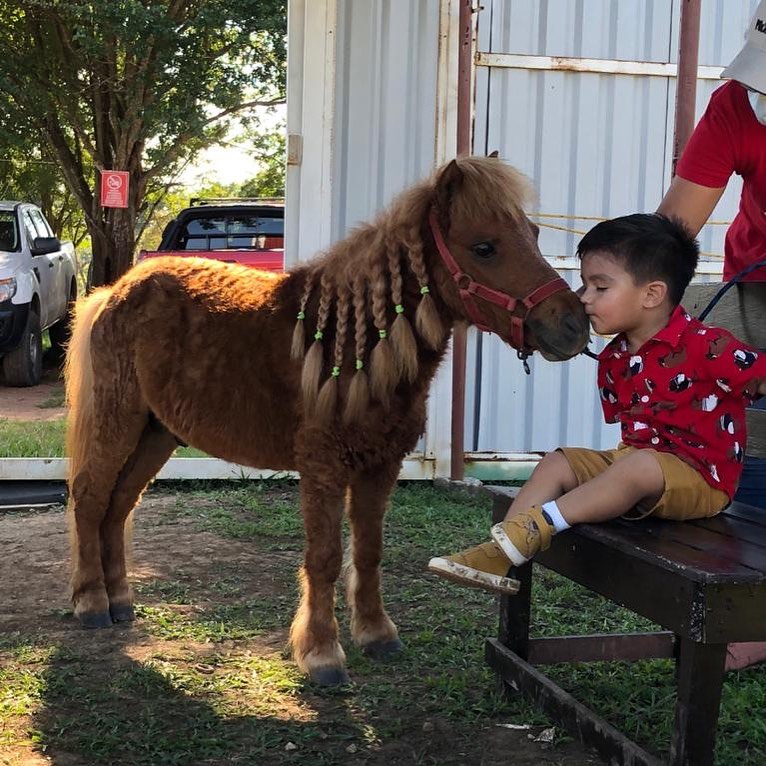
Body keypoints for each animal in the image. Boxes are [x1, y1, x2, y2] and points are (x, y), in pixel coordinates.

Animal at [64, 155, 589, 685]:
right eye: (484, 247)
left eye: (533, 234)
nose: (574, 323)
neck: (354, 345)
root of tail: (115, 291)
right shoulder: (323, 467)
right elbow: (325, 557)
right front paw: (321, 653)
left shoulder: (381, 466)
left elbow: (369, 550)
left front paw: (376, 634)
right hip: (119, 422)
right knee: (90, 498)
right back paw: (92, 602)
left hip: (156, 434)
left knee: (119, 505)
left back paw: (121, 600)